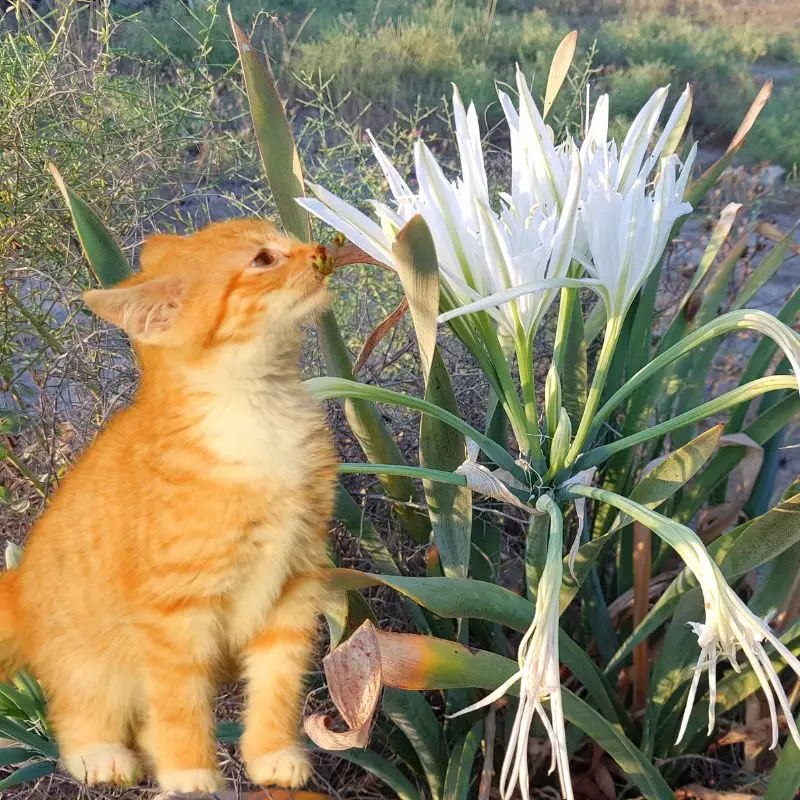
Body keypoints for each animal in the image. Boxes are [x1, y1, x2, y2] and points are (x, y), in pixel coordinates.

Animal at [0, 219, 336, 792]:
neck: (260, 415)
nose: (318, 252)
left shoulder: (294, 582)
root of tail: (18, 585)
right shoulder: (174, 612)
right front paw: (189, 771)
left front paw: (271, 753)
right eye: (263, 259)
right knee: (78, 712)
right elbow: (180, 701)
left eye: (285, 240)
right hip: (90, 661)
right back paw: (100, 755)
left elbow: (278, 683)